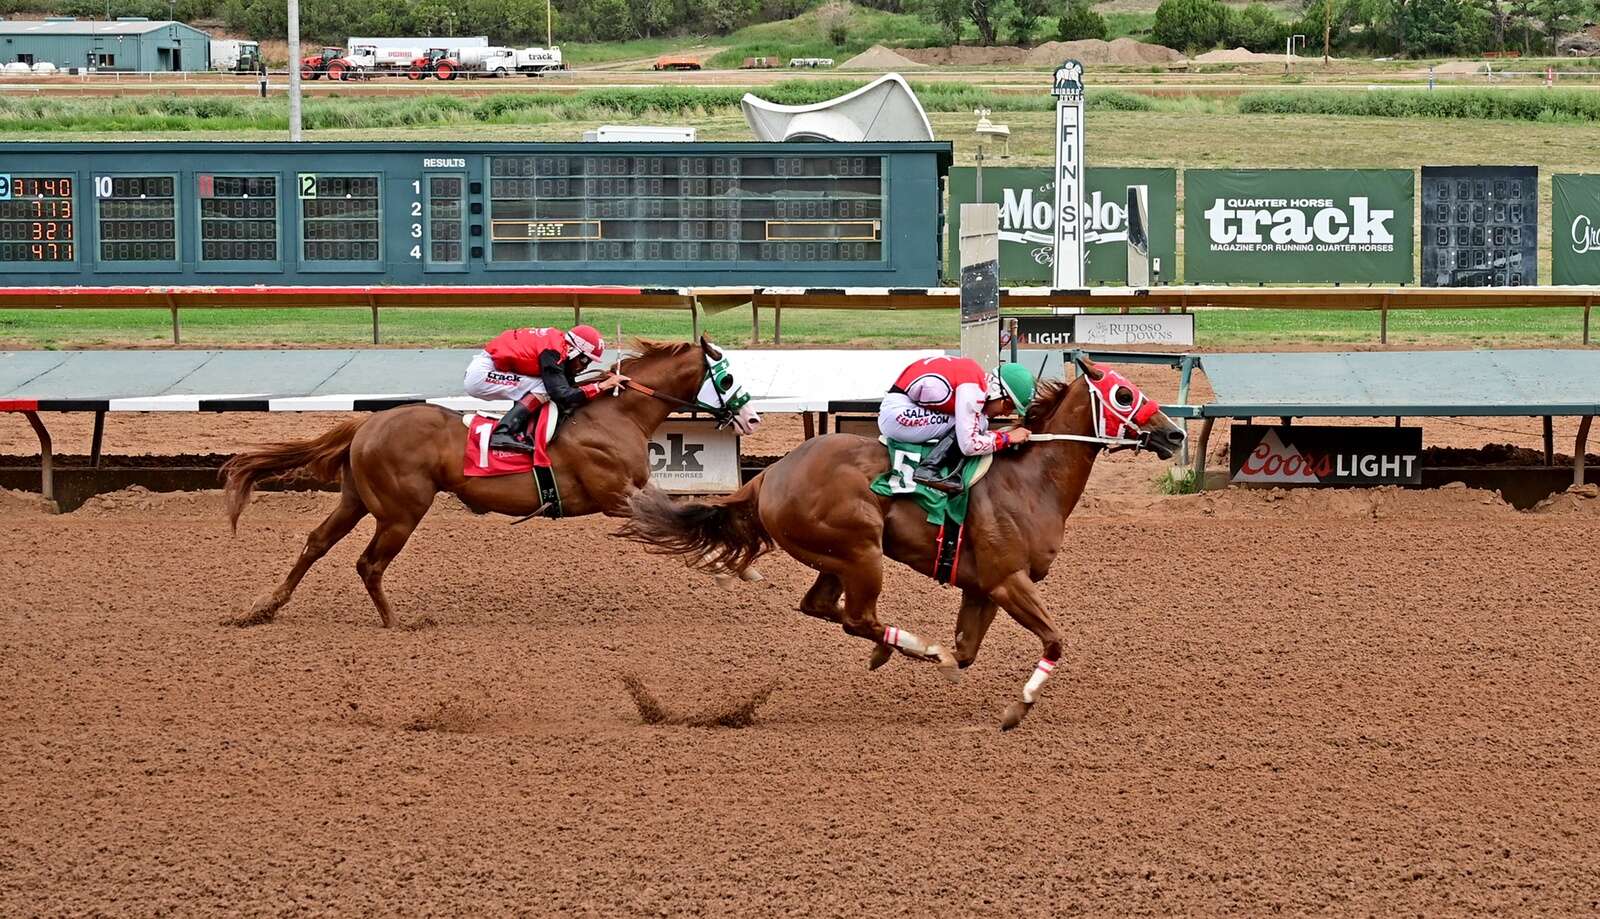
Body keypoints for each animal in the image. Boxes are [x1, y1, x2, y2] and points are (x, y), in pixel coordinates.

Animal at [220, 339, 761, 634]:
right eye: (726, 377)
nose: (753, 417)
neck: (615, 413)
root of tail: (368, 423)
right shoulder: (617, 496)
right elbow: (676, 521)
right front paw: (734, 569)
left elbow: (679, 519)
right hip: (400, 511)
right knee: (368, 563)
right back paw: (397, 622)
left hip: (357, 500)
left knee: (316, 543)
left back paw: (263, 608)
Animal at [617, 360, 1184, 736]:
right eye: (1124, 395)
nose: (1175, 434)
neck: (1030, 480)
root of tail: (766, 477)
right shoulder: (1008, 581)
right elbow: (1054, 641)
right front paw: (1016, 707)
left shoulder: (982, 588)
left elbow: (967, 651)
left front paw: (954, 663)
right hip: (860, 551)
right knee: (855, 615)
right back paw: (911, 646)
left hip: (834, 557)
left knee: (823, 607)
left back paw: (892, 648)